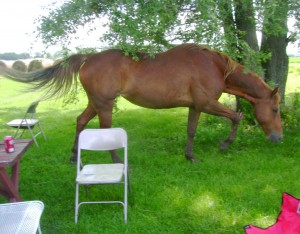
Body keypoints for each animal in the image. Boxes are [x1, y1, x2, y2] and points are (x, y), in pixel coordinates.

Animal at [0, 44, 282, 163]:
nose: (278, 138)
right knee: (104, 130)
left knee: (80, 122)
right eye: (275, 108)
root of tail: (89, 57)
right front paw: (225, 144)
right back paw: (115, 159)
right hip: (104, 104)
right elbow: (236, 117)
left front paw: (190, 156)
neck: (215, 65)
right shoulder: (207, 103)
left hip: (95, 102)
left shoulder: (195, 106)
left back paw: (72, 156)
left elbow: (191, 131)